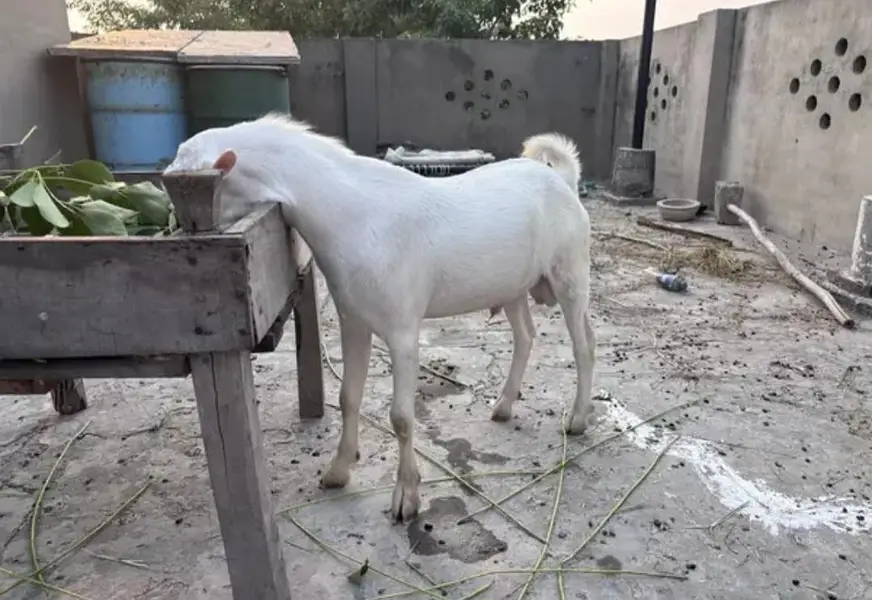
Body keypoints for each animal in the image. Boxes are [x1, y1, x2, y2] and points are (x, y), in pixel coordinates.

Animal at [164, 114, 596, 523]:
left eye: (189, 188)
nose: (178, 231)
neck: (352, 215)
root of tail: (562, 178)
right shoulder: (353, 320)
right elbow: (347, 397)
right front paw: (337, 471)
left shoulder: (402, 329)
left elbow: (401, 417)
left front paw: (406, 497)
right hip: (513, 286)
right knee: (525, 335)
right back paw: (504, 406)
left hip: (571, 272)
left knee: (584, 344)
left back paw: (577, 418)